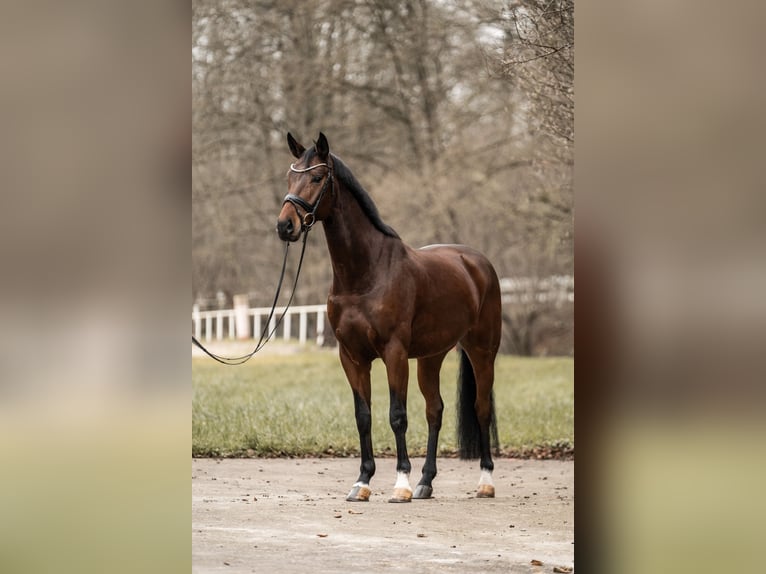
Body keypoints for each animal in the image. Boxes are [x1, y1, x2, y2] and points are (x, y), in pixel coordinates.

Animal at [276, 133, 504, 502]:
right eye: (289, 176)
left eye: (317, 177)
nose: (285, 226)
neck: (365, 273)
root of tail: (476, 262)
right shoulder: (352, 357)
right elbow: (363, 416)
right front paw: (363, 482)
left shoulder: (394, 353)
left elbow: (397, 416)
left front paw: (400, 484)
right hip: (430, 357)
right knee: (435, 410)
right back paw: (426, 482)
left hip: (482, 351)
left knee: (480, 408)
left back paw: (485, 481)